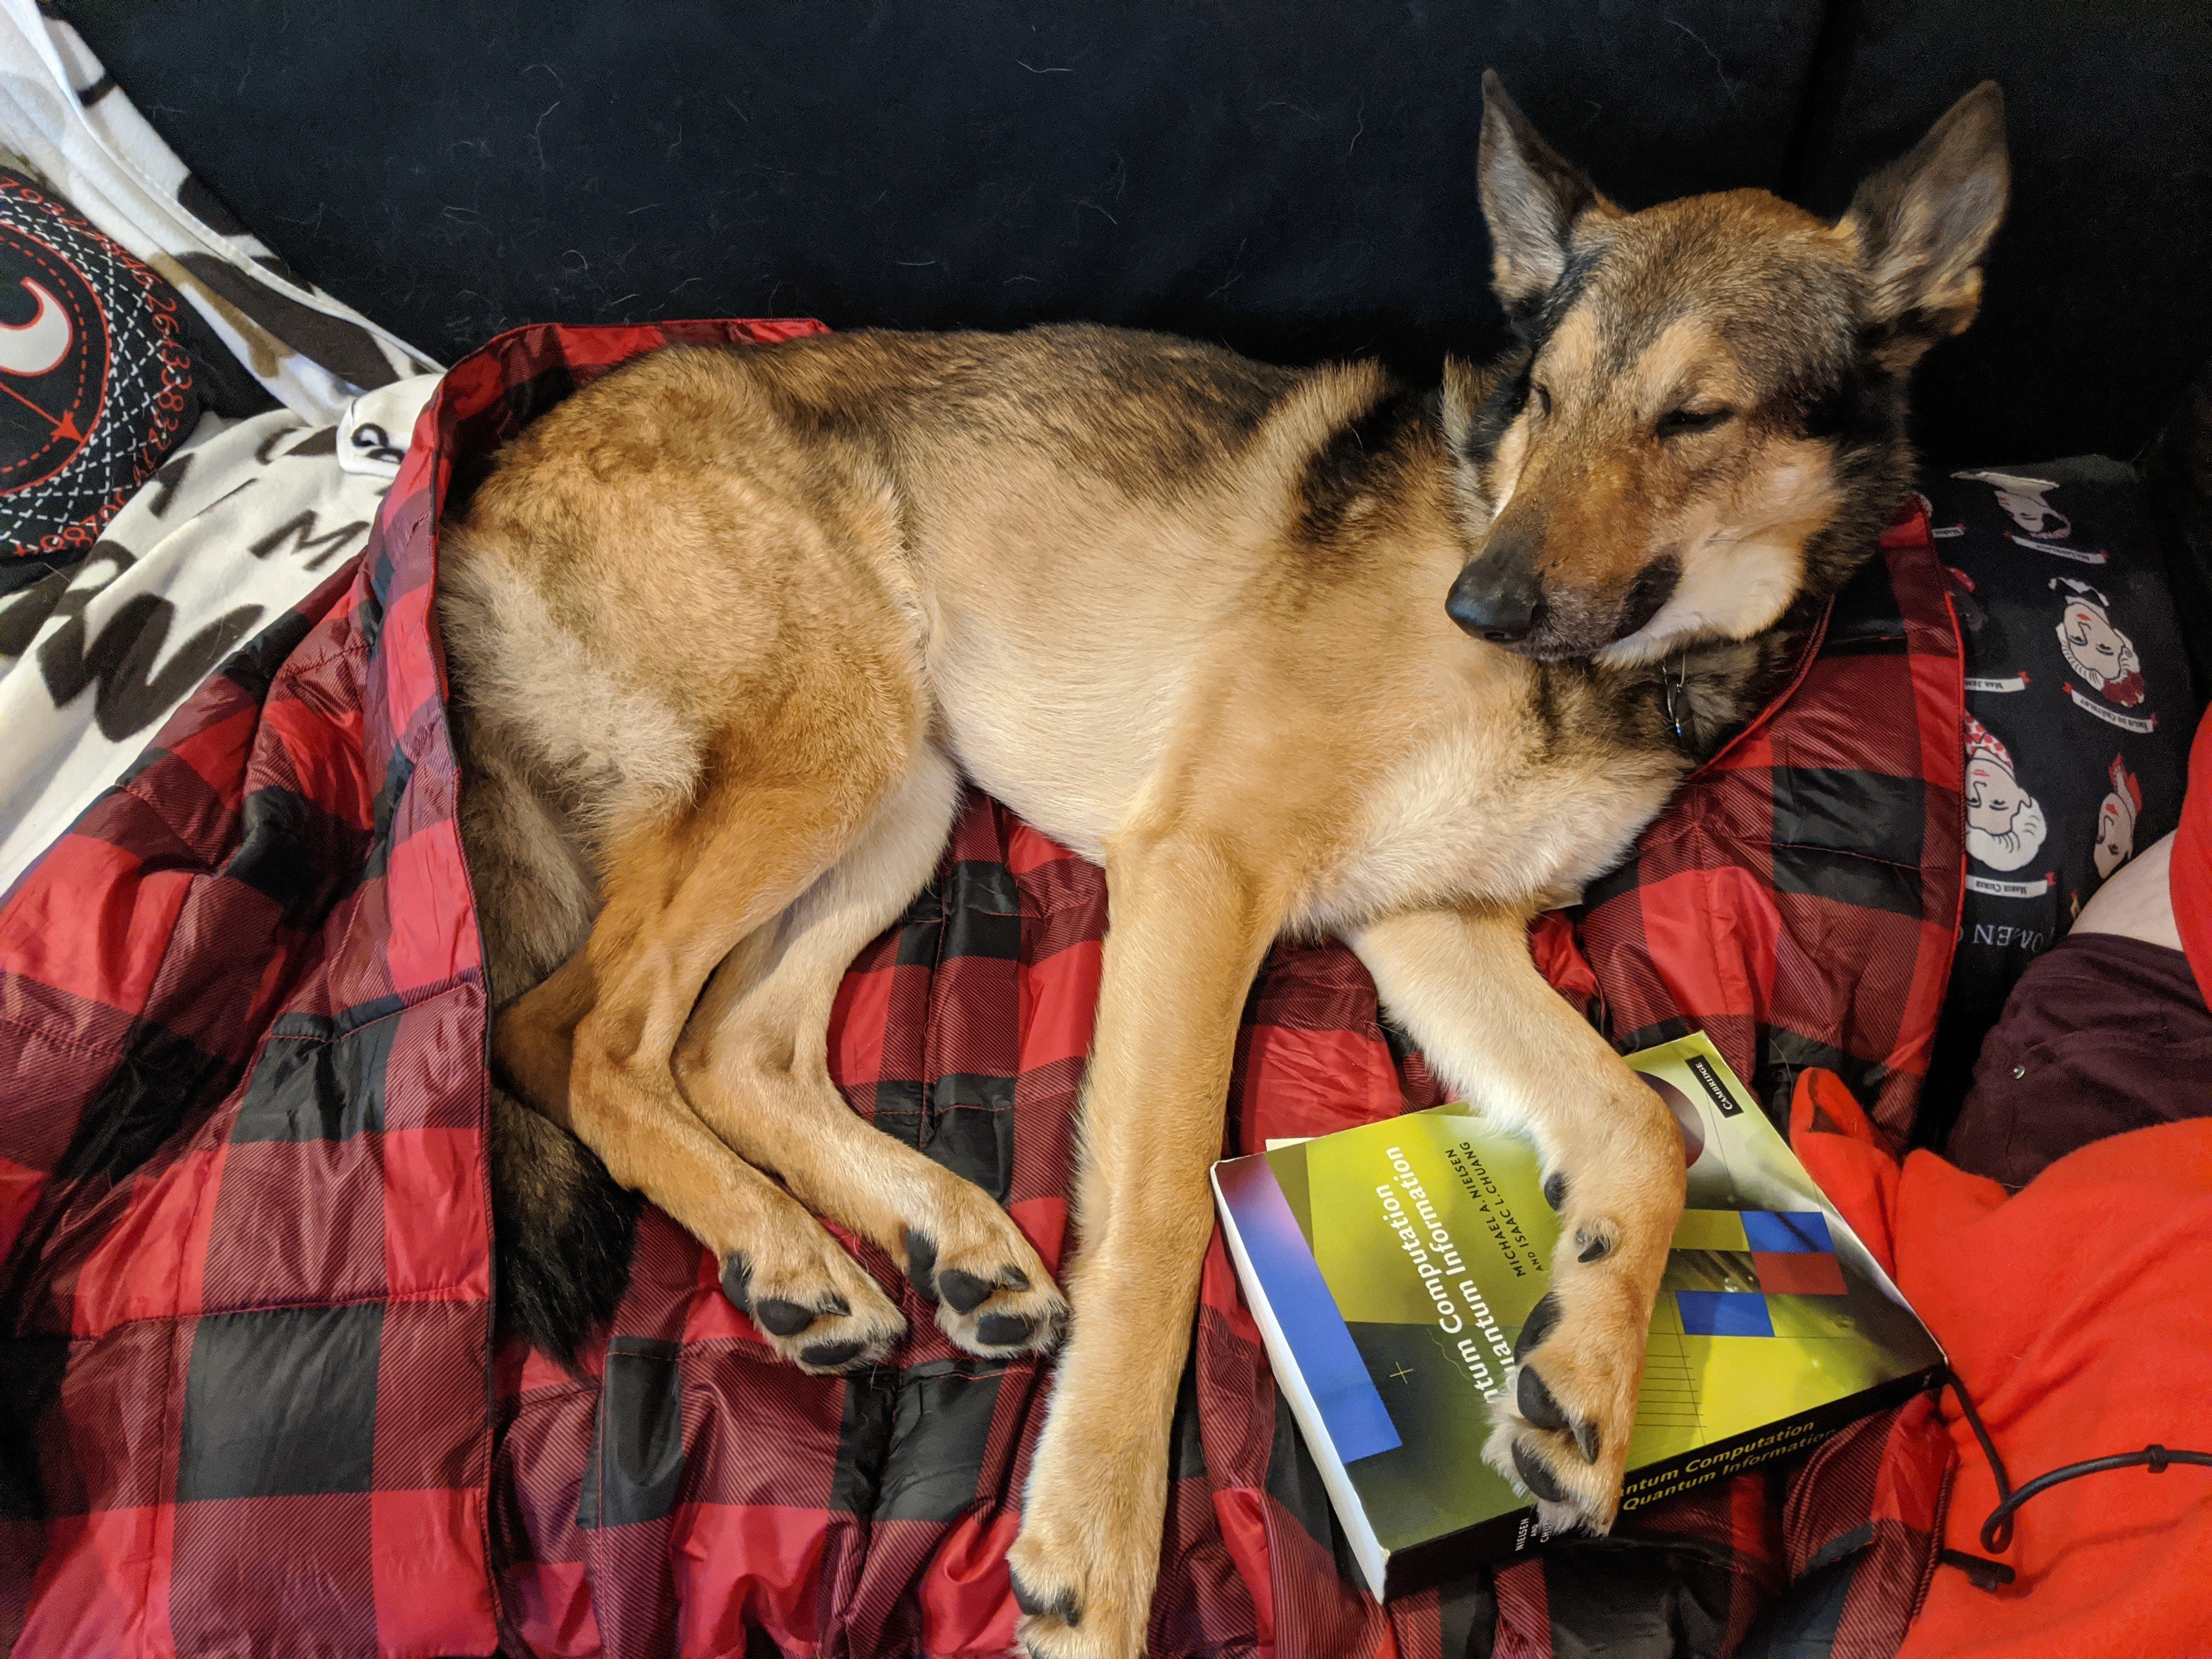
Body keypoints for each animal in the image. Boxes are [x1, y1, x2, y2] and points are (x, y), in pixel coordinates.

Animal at [436, 78, 2008, 1659]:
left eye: (1696, 418)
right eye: (1547, 397)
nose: (1480, 601)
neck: (1619, 675)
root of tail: (484, 486)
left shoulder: (1439, 932)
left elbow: (1639, 1120)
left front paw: (1587, 1384)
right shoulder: (1204, 874)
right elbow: (1160, 1220)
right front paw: (1092, 1549)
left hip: (907, 794)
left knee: (730, 1048)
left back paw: (941, 1240)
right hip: (835, 740)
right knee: (579, 1033)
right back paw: (786, 1256)